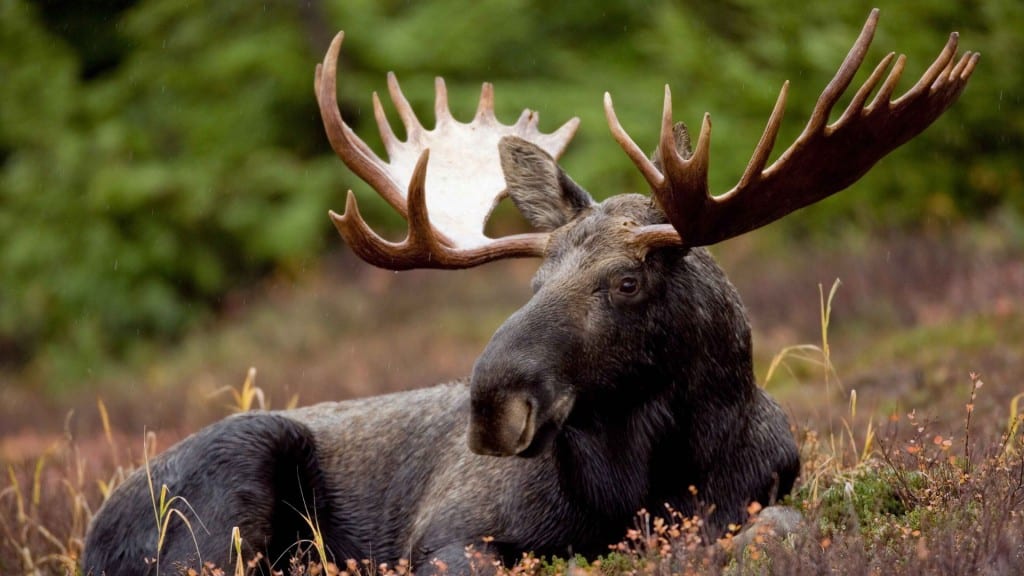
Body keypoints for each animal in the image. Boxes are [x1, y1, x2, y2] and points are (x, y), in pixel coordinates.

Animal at [83, 10, 976, 575]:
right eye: (535, 280)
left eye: (627, 281)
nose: (490, 405)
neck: (639, 484)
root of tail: (94, 530)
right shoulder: (450, 534)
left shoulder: (757, 499)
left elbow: (779, 531)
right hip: (227, 490)